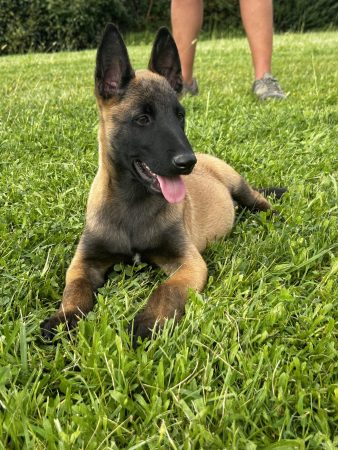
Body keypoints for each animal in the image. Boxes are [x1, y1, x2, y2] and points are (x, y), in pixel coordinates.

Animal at [41, 23, 286, 342]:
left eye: (179, 116)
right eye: (143, 119)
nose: (187, 163)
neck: (132, 203)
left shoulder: (188, 262)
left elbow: (166, 290)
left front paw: (147, 323)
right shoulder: (84, 262)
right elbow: (75, 289)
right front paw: (64, 318)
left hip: (237, 183)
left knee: (257, 199)